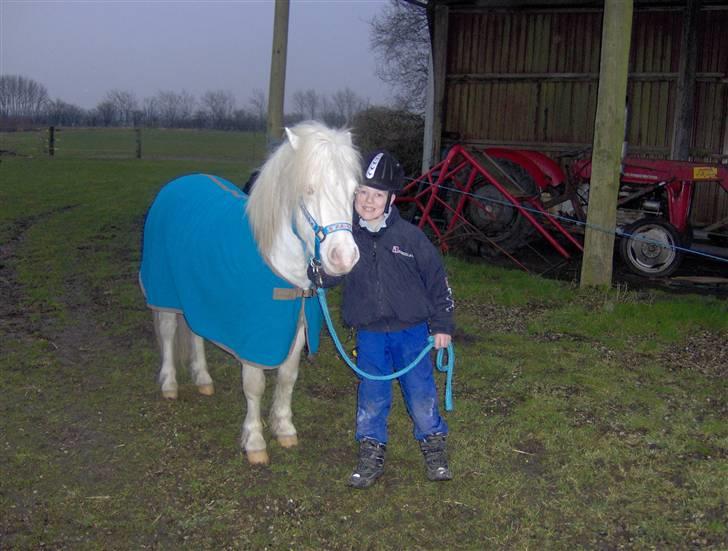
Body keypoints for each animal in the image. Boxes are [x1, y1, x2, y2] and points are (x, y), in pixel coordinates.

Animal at [139, 122, 362, 466]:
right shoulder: (254, 338)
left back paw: (203, 379)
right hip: (165, 294)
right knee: (167, 333)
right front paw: (255, 441)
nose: (344, 257)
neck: (281, 263)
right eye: (308, 190)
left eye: (353, 192)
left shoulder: (297, 326)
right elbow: (254, 386)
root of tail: (176, 185)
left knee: (195, 332)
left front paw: (284, 427)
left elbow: (287, 377)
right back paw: (170, 385)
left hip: (195, 297)